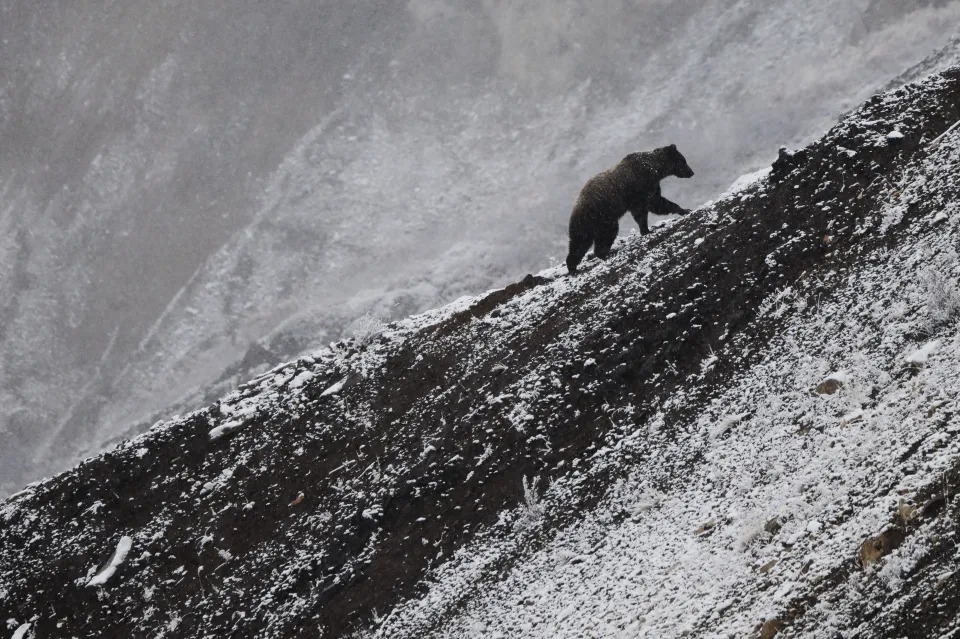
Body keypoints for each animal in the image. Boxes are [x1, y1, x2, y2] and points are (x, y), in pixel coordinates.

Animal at [568, 144, 692, 274]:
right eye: (683, 161)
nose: (691, 172)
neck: (655, 169)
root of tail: (575, 207)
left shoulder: (648, 189)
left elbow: (652, 206)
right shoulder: (640, 188)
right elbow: (652, 206)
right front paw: (682, 210)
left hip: (598, 222)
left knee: (585, 242)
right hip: (597, 217)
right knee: (589, 239)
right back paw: (584, 262)